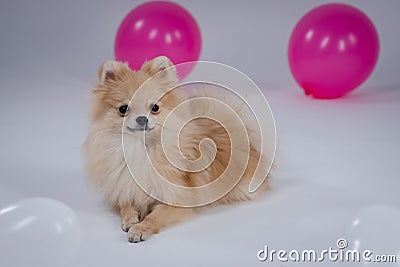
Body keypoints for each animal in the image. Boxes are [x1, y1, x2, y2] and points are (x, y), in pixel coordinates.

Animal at [84, 56, 272, 243]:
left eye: (155, 108)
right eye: (123, 109)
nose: (142, 119)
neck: (141, 149)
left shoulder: (177, 200)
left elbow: (154, 217)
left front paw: (139, 229)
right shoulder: (123, 187)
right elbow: (125, 203)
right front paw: (130, 219)